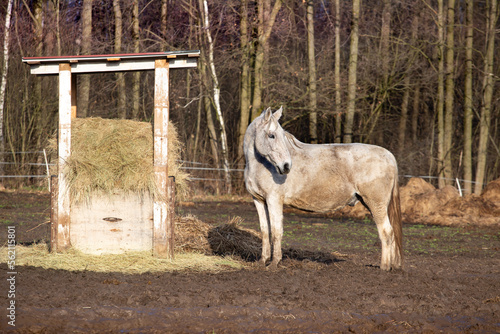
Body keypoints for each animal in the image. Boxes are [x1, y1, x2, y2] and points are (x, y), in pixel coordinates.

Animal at [244, 107, 404, 272]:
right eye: (272, 135)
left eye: (281, 136)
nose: (286, 166)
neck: (262, 166)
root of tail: (389, 156)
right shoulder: (259, 200)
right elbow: (265, 230)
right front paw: (262, 261)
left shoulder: (274, 200)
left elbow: (276, 231)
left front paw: (274, 263)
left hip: (376, 204)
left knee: (386, 232)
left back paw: (384, 267)